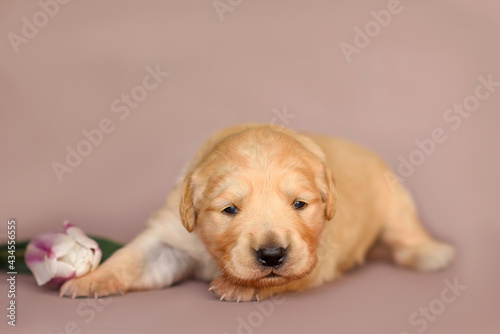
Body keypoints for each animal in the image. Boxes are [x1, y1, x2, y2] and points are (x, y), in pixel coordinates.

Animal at [60, 124, 456, 302]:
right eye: (229, 209)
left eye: (299, 204)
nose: (271, 255)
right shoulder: (170, 235)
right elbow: (133, 258)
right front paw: (90, 279)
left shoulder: (319, 254)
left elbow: (288, 276)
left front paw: (241, 286)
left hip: (394, 201)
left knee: (406, 233)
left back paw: (431, 253)